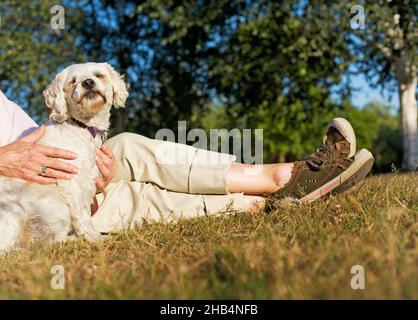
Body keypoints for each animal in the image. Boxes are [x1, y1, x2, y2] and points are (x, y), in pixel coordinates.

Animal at [0, 62, 128, 252]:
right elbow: (82, 215)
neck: (82, 127)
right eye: (72, 81)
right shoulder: (71, 181)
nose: (88, 82)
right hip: (28, 211)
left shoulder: (88, 180)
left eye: (98, 75)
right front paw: (94, 238)